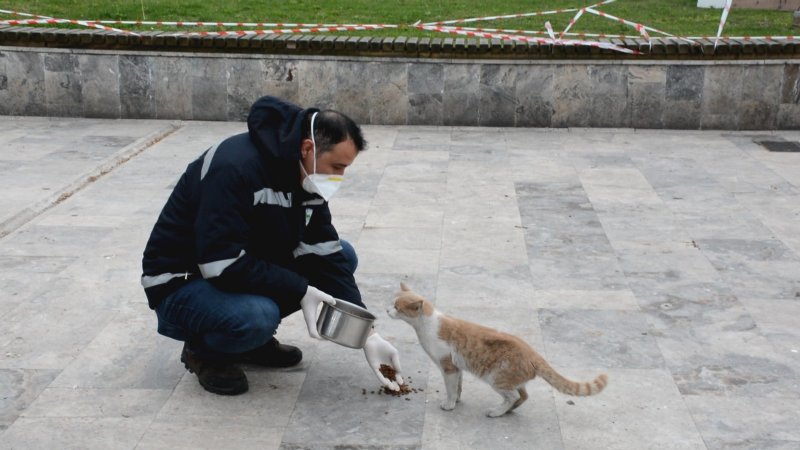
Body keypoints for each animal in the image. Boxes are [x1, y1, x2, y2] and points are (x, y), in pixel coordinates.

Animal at [388, 284, 608, 416]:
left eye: (397, 307)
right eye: (392, 303)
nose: (386, 309)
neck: (427, 325)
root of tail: (533, 353)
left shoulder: (448, 367)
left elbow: (451, 388)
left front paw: (449, 404)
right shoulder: (457, 369)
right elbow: (458, 387)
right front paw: (457, 400)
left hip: (496, 377)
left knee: (513, 397)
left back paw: (496, 411)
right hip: (511, 379)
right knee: (523, 396)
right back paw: (508, 410)